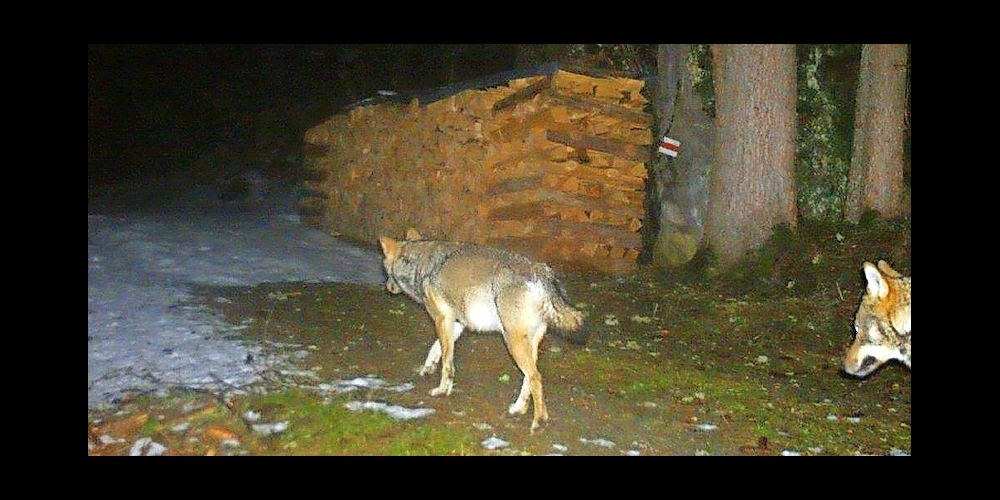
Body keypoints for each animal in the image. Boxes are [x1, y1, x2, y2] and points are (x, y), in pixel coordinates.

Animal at [378, 230, 585, 433]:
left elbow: (446, 363)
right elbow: (436, 350)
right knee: (529, 378)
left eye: (386, 271)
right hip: (526, 344)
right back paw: (519, 409)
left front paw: (442, 390)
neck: (421, 263)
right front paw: (428, 368)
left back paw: (539, 421)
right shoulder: (456, 323)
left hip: (513, 343)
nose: (387, 287)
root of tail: (540, 270)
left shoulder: (442, 320)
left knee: (535, 377)